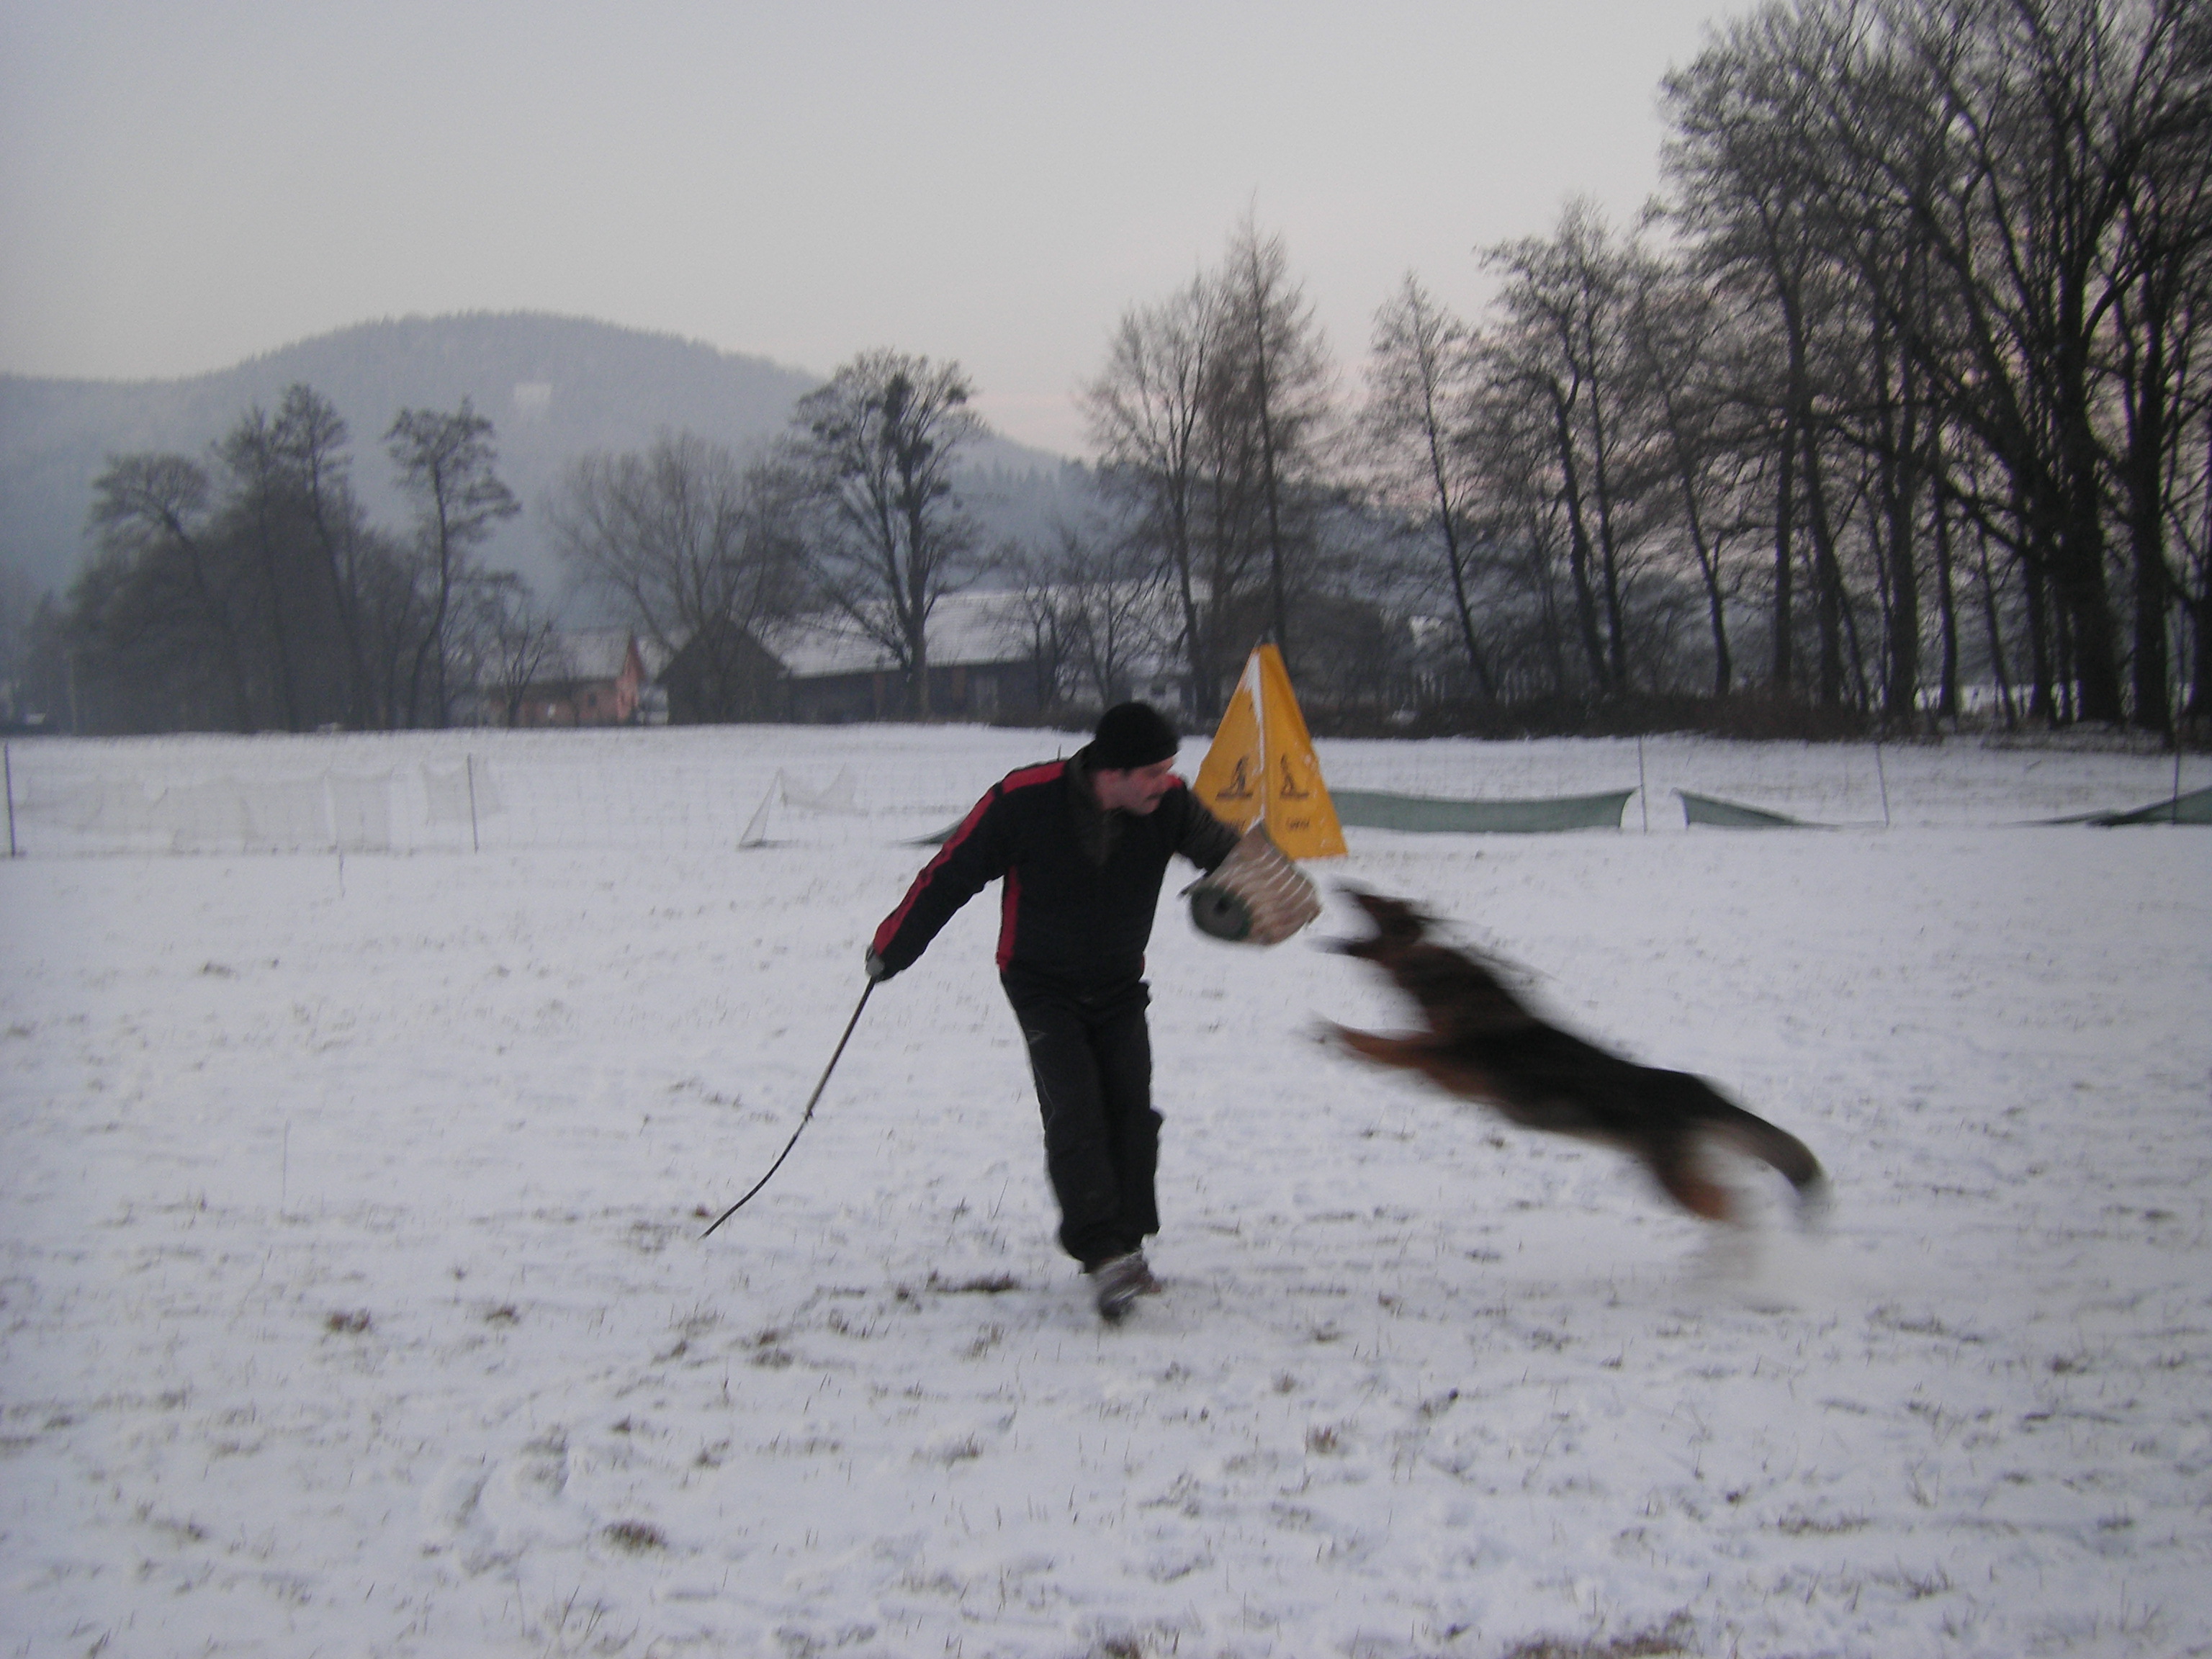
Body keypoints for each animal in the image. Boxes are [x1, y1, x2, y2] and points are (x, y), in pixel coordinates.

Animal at [1327, 889, 1831, 1230]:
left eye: (1379, 901)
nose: (1345, 882)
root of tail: (1696, 1091)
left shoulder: (1440, 1065)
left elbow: (1391, 1042)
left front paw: (1333, 1033)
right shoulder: (1435, 1068)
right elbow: (1393, 1045)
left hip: (1672, 1176)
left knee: (1732, 1214)